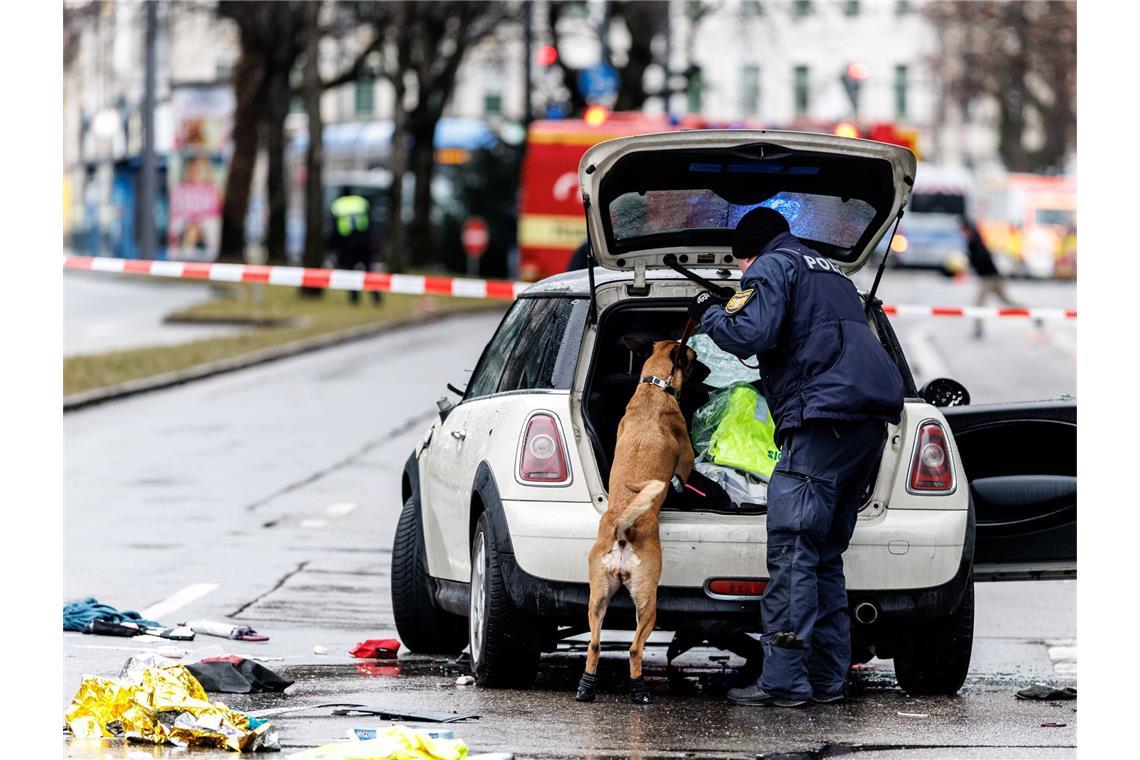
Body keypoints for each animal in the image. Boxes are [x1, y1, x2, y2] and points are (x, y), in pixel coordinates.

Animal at [579, 339, 693, 706]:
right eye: (693, 358)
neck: (653, 388)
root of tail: (622, 530)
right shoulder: (686, 460)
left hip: (597, 600)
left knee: (595, 644)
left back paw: (586, 688)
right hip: (648, 603)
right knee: (633, 649)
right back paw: (639, 691)